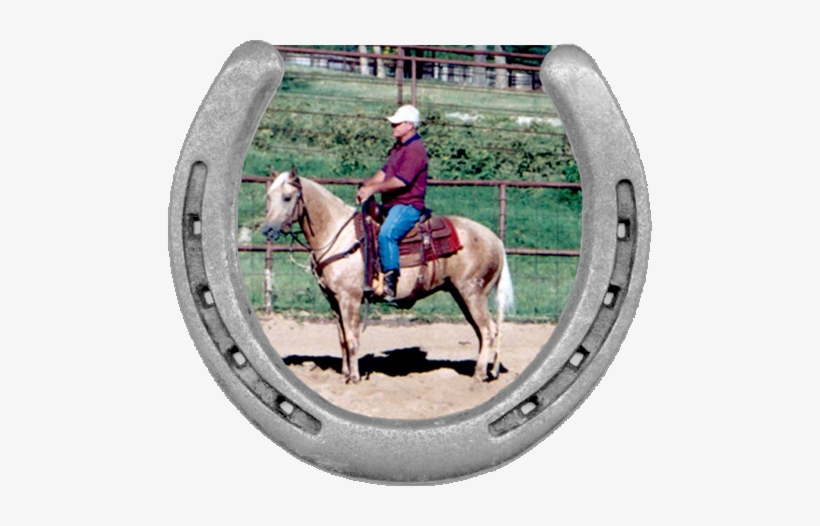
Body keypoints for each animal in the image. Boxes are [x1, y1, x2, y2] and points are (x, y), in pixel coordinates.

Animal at [262, 168, 514, 384]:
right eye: (269, 197)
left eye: (287, 197)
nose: (267, 230)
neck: (339, 236)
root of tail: (496, 241)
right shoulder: (333, 300)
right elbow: (342, 338)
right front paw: (345, 373)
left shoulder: (349, 298)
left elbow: (352, 338)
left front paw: (354, 377)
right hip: (461, 294)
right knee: (483, 332)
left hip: (473, 294)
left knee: (488, 331)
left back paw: (479, 376)